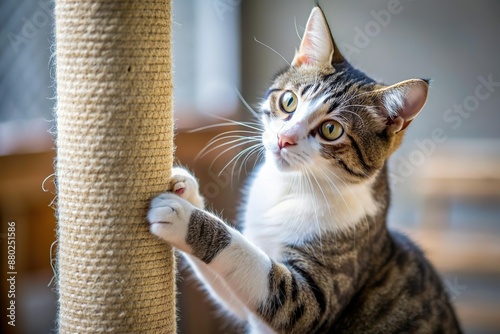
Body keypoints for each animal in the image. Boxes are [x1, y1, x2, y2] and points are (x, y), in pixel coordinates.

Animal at [147, 5, 460, 334]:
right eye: (289, 101)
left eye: (331, 129)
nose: (285, 138)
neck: (290, 186)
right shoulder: (245, 306)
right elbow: (233, 289)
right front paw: (186, 190)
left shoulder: (317, 296)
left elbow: (257, 268)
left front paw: (183, 216)